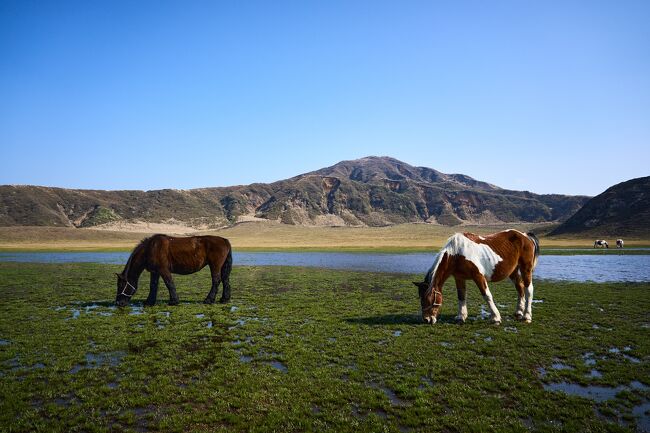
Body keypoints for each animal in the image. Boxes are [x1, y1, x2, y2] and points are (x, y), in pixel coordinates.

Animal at [412, 230, 540, 324]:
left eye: (429, 299)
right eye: (421, 299)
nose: (427, 319)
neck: (456, 254)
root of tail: (525, 236)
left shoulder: (478, 276)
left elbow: (487, 295)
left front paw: (496, 317)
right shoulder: (459, 278)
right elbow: (461, 296)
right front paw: (461, 316)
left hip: (526, 268)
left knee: (528, 289)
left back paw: (527, 316)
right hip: (513, 271)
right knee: (520, 287)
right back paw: (519, 312)